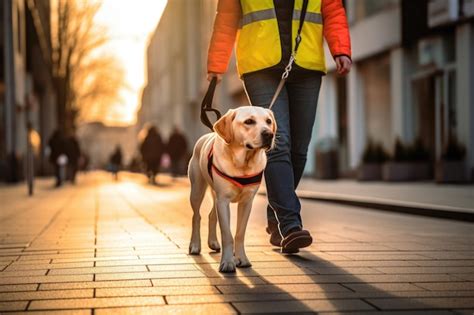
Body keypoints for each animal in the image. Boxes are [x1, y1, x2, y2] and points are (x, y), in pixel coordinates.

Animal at [189, 107, 276, 274]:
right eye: (249, 121)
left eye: (268, 121)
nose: (269, 134)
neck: (243, 163)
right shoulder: (223, 201)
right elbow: (227, 234)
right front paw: (228, 262)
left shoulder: (246, 202)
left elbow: (240, 233)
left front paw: (241, 258)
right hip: (197, 190)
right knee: (196, 216)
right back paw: (195, 245)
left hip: (215, 194)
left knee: (211, 215)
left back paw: (213, 242)